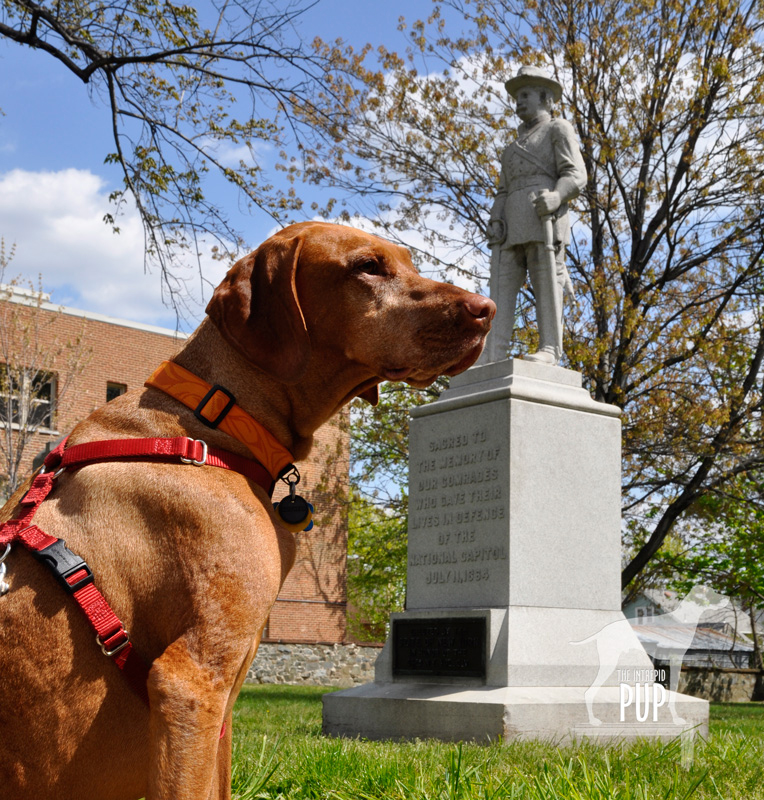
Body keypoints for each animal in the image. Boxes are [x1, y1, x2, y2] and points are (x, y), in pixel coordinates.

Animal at [0, 220, 496, 800]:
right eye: (368, 266)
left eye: (409, 263)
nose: (487, 309)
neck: (215, 418)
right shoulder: (192, 682)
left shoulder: (223, 708)